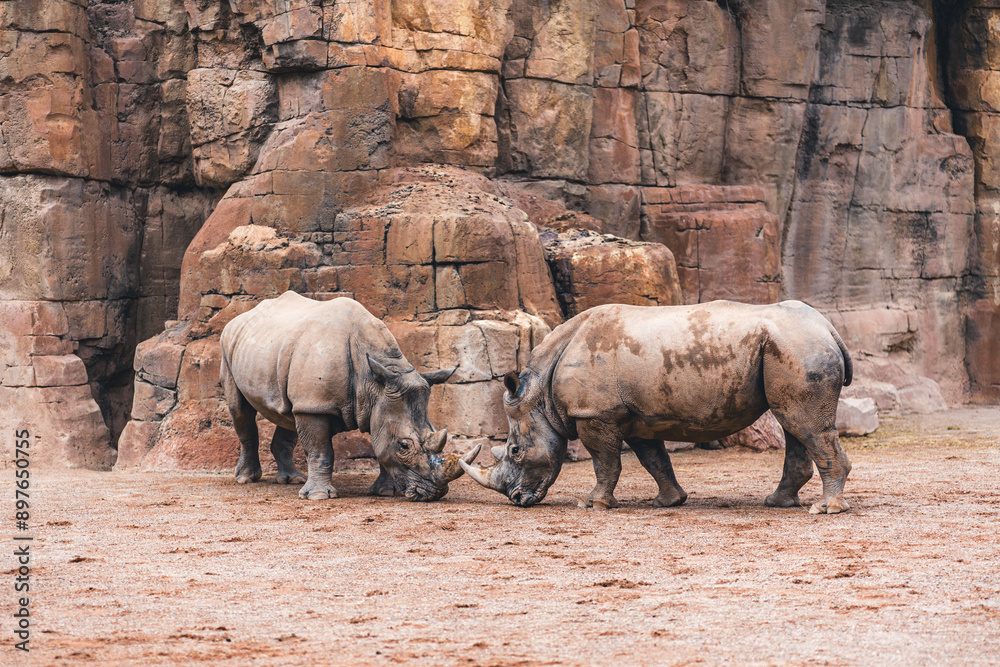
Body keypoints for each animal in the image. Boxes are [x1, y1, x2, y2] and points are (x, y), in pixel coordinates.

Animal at [220, 291, 480, 501]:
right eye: (404, 446)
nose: (434, 494)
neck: (374, 381)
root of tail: (241, 316)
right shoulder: (317, 405)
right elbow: (321, 450)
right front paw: (318, 497)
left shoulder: (378, 400)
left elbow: (380, 440)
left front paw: (387, 492)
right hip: (229, 342)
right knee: (240, 410)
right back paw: (246, 479)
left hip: (280, 358)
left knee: (289, 413)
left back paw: (291, 480)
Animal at [461, 300, 854, 514]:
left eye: (514, 450)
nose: (516, 499)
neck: (539, 394)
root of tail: (828, 328)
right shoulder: (636, 416)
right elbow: (654, 459)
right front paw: (669, 502)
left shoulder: (596, 414)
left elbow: (605, 462)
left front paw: (593, 505)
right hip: (794, 346)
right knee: (793, 423)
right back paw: (777, 502)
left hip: (799, 347)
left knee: (804, 423)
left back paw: (825, 509)